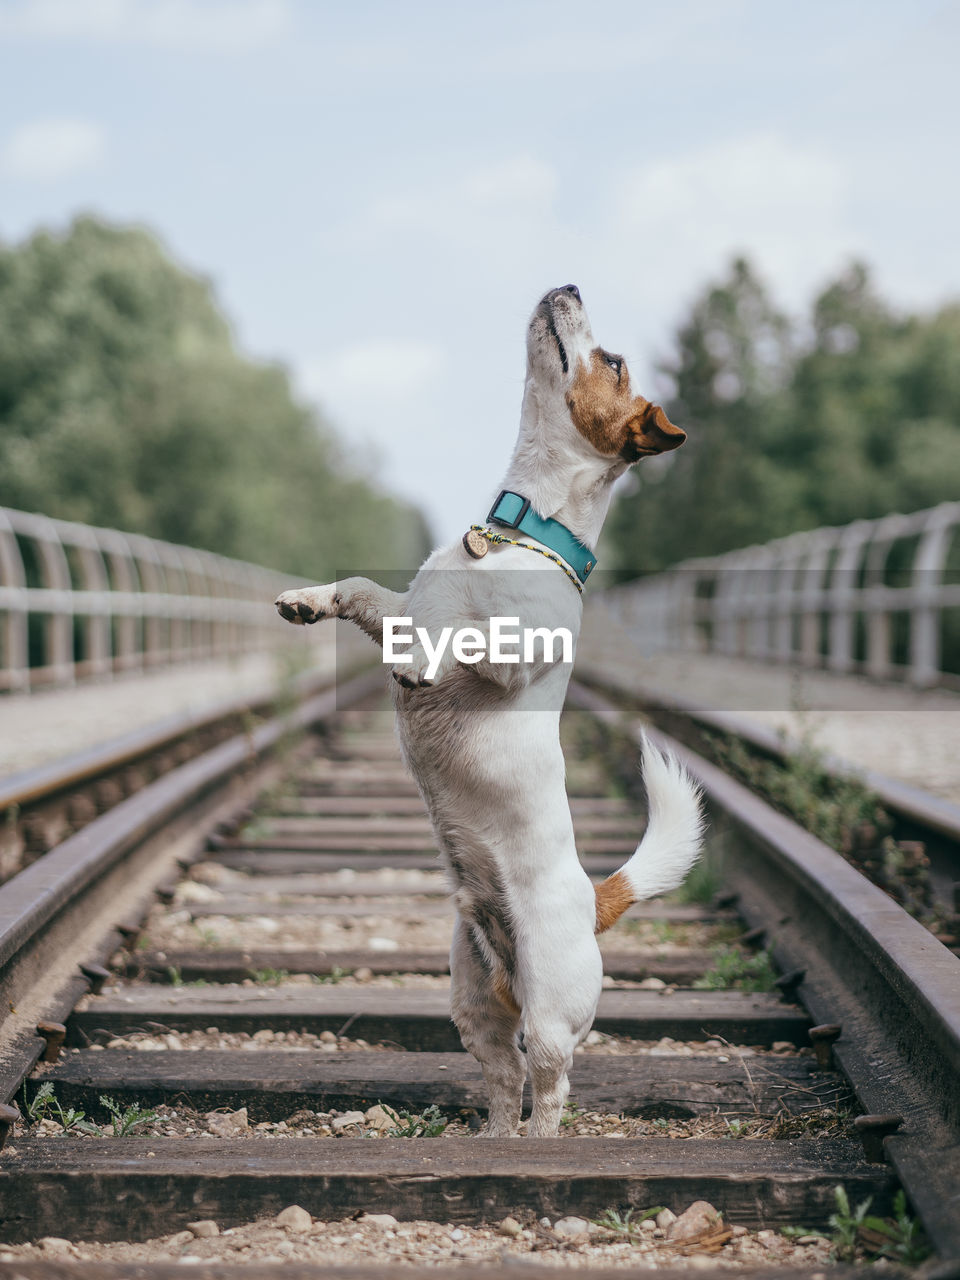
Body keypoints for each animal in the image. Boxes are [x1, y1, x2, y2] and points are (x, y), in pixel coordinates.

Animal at [277, 288, 706, 1141]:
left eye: (613, 362)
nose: (567, 286)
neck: (515, 534)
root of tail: (596, 897)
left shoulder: (512, 649)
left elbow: (463, 635)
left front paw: (420, 664)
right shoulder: (399, 607)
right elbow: (363, 591)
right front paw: (308, 601)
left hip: (551, 1007)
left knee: (552, 1080)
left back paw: (537, 1144)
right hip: (471, 998)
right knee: (503, 1076)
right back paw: (496, 1136)